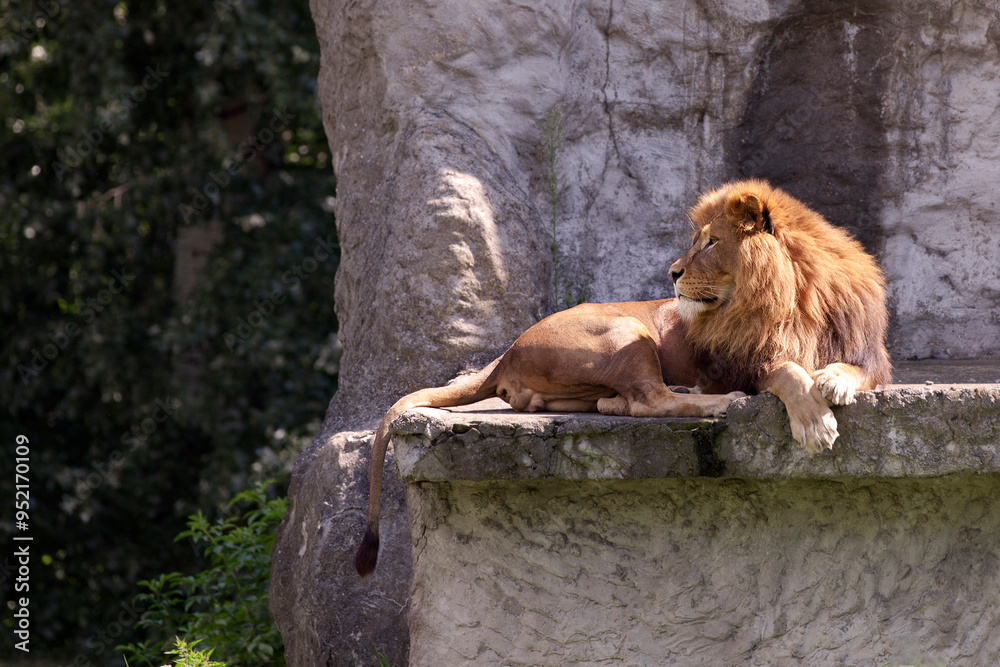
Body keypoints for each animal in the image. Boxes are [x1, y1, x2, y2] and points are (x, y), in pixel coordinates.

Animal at [354, 179, 891, 577]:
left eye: (711, 242)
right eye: (697, 240)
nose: (672, 272)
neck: (792, 296)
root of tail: (507, 352)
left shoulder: (867, 352)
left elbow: (853, 370)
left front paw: (835, 382)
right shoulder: (744, 363)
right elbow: (787, 371)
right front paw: (815, 423)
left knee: (615, 402)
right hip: (628, 328)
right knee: (649, 400)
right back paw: (719, 402)